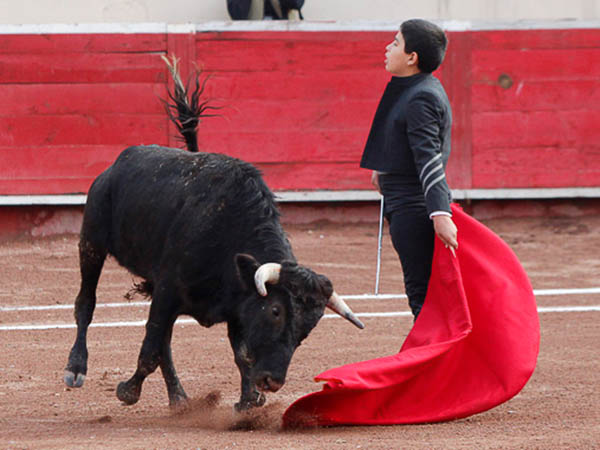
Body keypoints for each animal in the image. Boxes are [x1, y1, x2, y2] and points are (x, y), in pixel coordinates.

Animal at [65, 60, 366, 414]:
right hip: (91, 241)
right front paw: (128, 390)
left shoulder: (236, 305)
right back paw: (76, 369)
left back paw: (179, 399)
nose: (273, 381)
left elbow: (241, 354)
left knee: (164, 342)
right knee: (87, 303)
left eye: (309, 328)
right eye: (276, 311)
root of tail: (117, 164)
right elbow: (150, 347)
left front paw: (249, 400)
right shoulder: (168, 290)